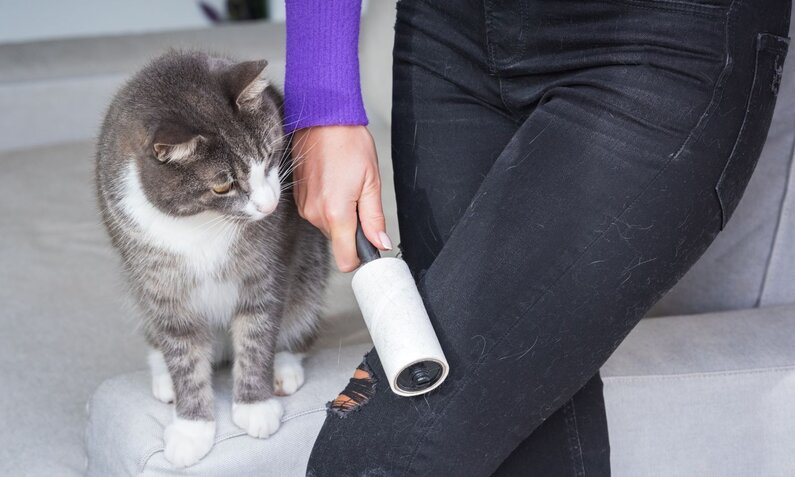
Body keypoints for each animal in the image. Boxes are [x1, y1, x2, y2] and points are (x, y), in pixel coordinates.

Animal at [95, 50, 330, 466]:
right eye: (222, 185)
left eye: (270, 155)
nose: (270, 205)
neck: (202, 224)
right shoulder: (159, 284)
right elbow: (182, 350)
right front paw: (192, 428)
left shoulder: (264, 269)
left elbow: (257, 330)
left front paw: (255, 406)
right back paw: (163, 376)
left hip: (311, 263)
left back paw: (284, 367)